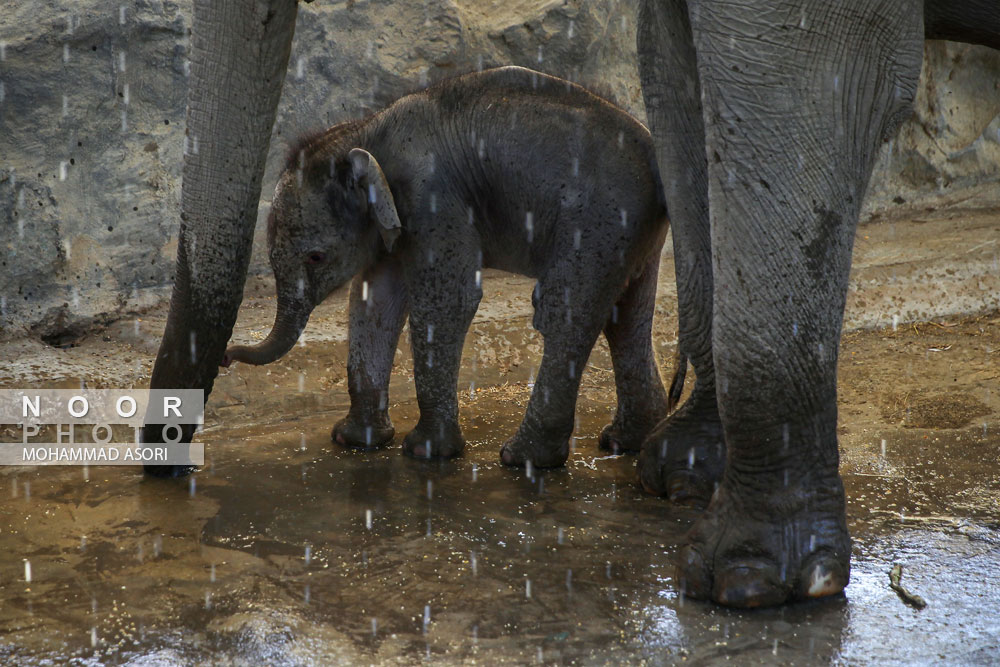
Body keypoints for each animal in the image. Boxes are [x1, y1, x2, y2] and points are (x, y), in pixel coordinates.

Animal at [227, 65, 672, 468]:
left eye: (315, 257)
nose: (227, 356)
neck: (365, 131)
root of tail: (655, 156)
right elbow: (375, 301)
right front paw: (353, 441)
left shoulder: (433, 197)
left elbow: (448, 300)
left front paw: (424, 452)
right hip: (629, 229)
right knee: (626, 316)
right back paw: (623, 442)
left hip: (598, 219)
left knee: (564, 313)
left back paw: (521, 459)